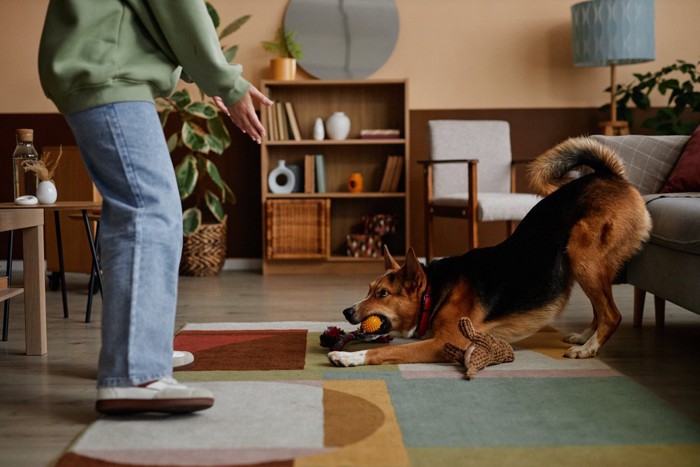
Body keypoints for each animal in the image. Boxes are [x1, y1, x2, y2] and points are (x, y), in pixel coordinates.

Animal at [328, 137, 652, 368]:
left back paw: (587, 349)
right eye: (369, 288)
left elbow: (382, 353)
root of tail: (610, 176)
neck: (434, 293)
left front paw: (348, 357)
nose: (346, 312)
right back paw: (584, 336)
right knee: (601, 310)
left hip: (582, 255)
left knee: (612, 314)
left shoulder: (447, 342)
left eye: (383, 293)